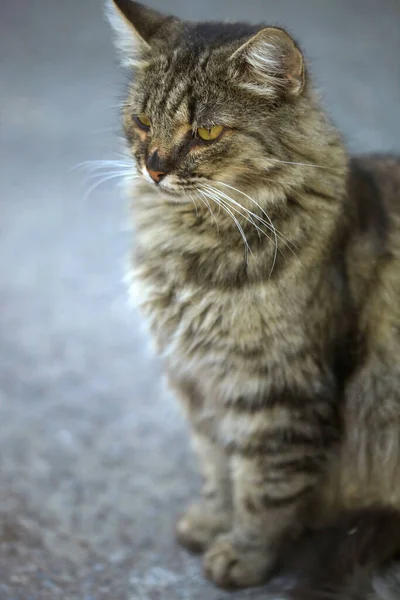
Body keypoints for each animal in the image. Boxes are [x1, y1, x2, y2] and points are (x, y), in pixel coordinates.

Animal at [105, 0, 400, 596]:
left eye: (206, 131)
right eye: (143, 122)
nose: (154, 167)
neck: (192, 244)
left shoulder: (279, 391)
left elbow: (266, 489)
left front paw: (243, 554)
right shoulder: (199, 382)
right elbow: (218, 467)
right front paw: (211, 521)